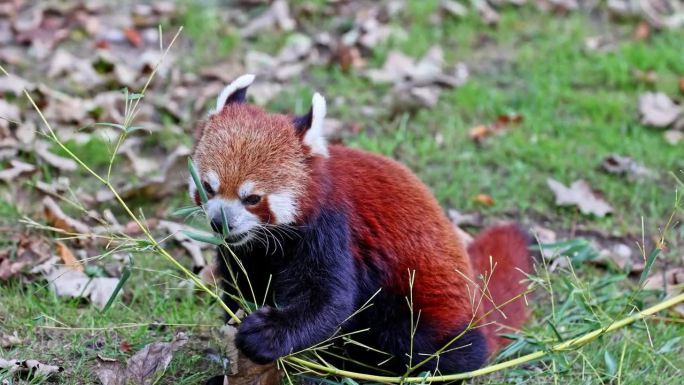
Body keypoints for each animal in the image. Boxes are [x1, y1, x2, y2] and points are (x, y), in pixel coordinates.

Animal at [190, 73, 532, 374]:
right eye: (208, 187)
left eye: (252, 198)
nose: (220, 223)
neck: (269, 242)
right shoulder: (247, 252)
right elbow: (243, 284)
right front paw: (238, 317)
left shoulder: (332, 229)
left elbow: (330, 300)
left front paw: (265, 333)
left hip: (422, 312)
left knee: (423, 346)